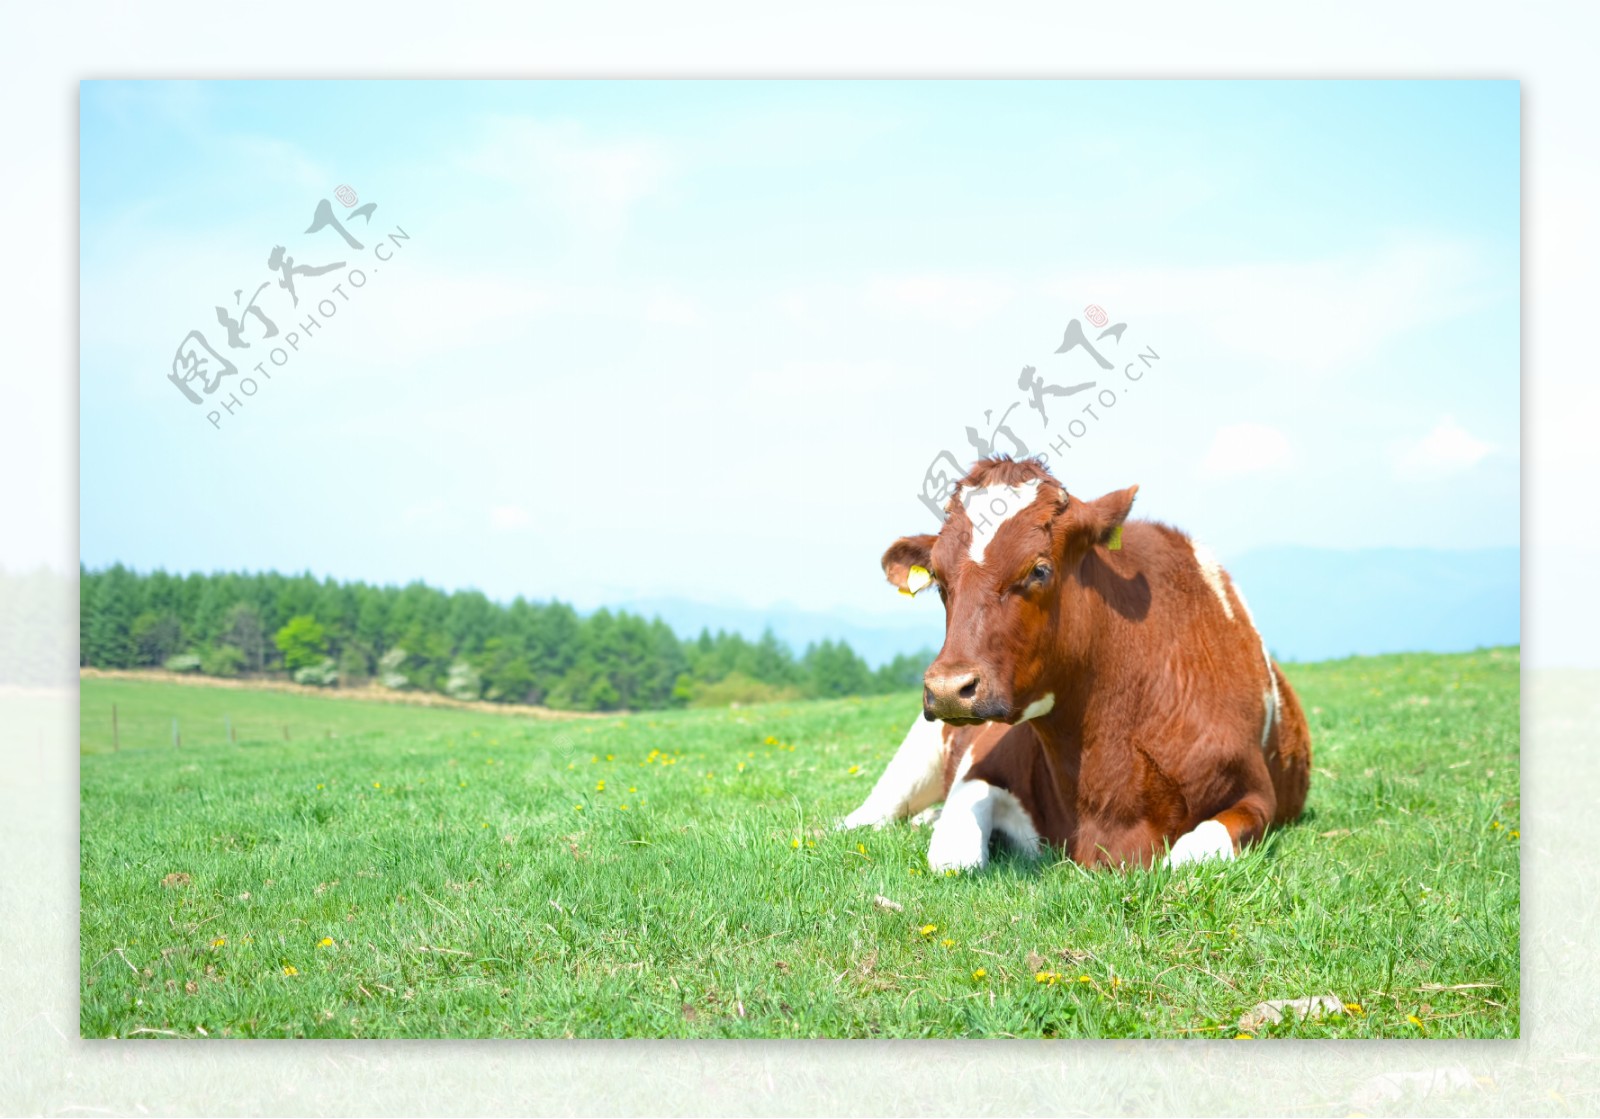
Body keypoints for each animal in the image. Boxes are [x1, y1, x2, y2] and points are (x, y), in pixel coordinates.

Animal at [844, 457, 1305, 877]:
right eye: (939, 580)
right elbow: (953, 857)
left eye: (1039, 569)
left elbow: (1188, 854)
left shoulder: (1257, 794)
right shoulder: (980, 767)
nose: (947, 688)